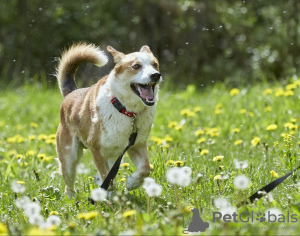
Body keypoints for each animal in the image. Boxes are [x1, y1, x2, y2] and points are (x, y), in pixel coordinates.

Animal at [54, 42, 161, 199]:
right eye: (136, 66)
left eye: (155, 65)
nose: (156, 75)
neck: (127, 110)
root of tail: (71, 93)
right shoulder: (96, 148)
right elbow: (108, 179)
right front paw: (101, 181)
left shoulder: (137, 145)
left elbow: (145, 169)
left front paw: (132, 183)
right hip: (69, 156)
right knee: (69, 185)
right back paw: (73, 200)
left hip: (114, 155)